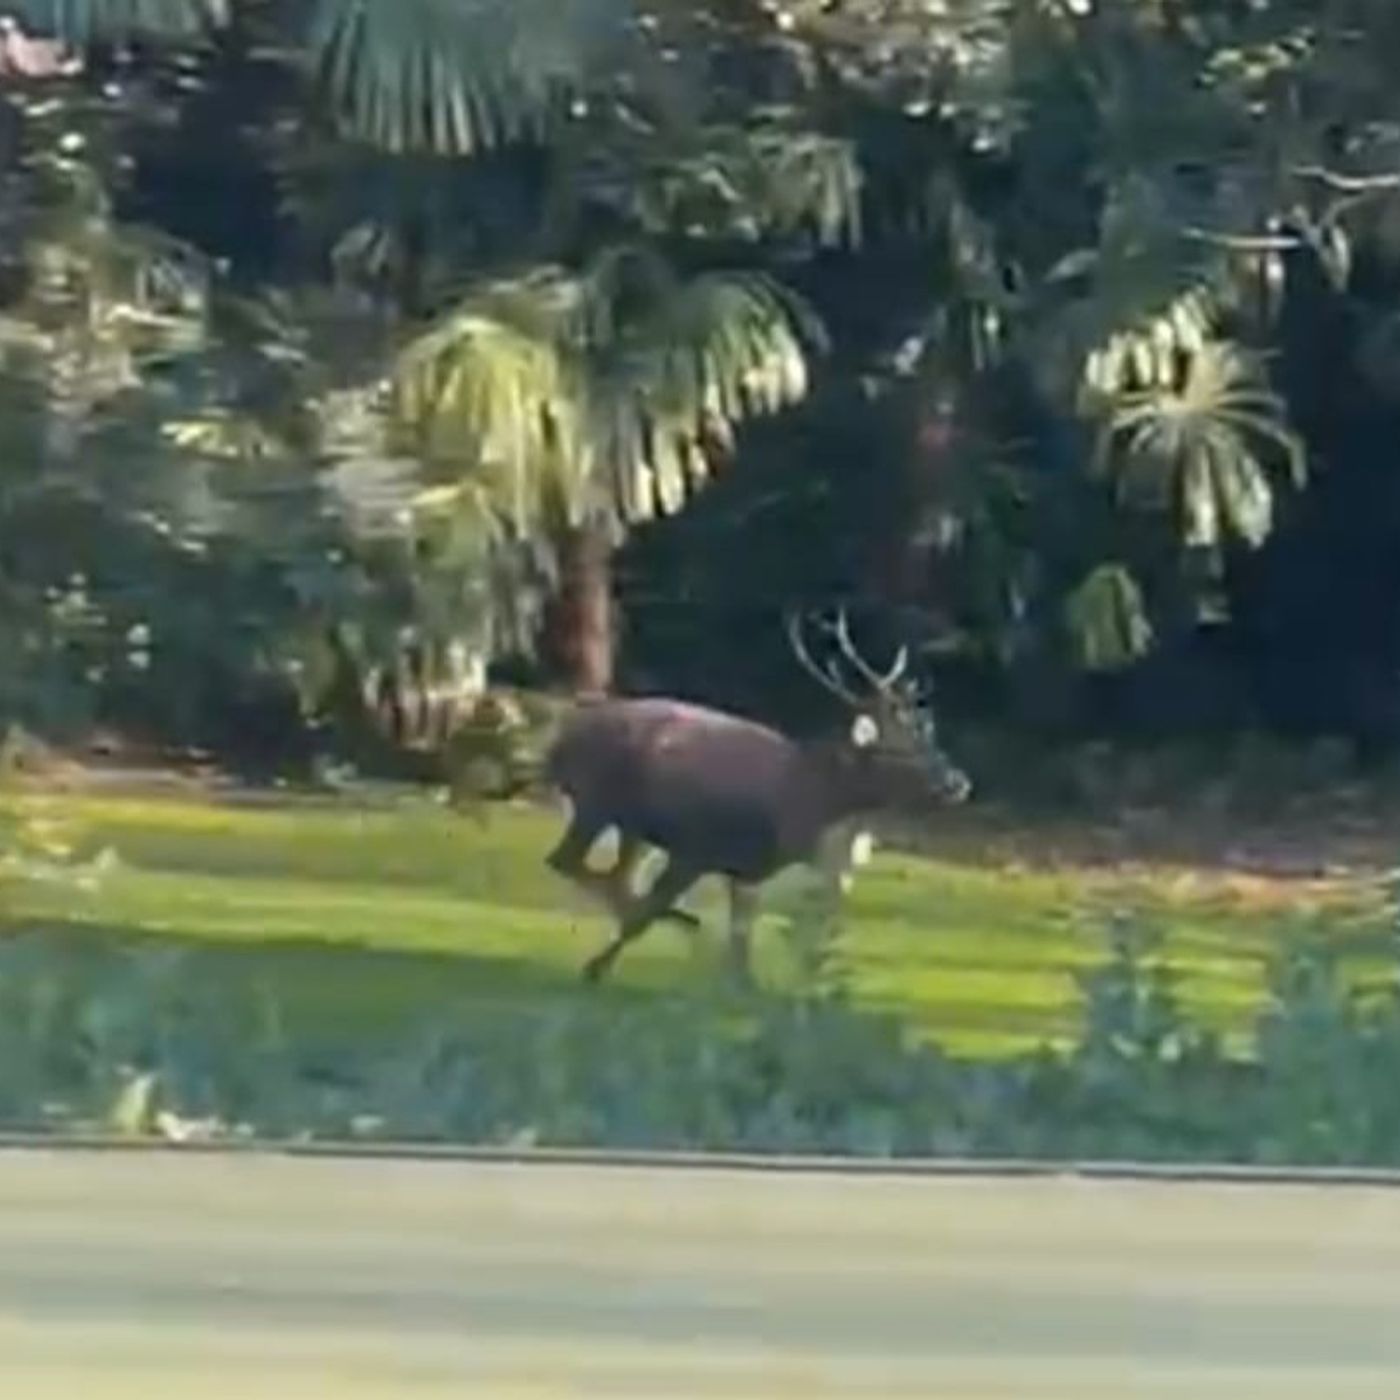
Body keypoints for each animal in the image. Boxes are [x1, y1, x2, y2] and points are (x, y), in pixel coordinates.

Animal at [542, 608, 971, 984]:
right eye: (902, 751)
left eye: (930, 740)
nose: (958, 782)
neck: (803, 799)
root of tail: (558, 743)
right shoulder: (695, 848)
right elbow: (651, 914)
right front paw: (595, 968)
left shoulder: (743, 870)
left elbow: (740, 943)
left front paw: (741, 984)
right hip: (598, 801)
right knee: (570, 863)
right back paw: (671, 921)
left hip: (628, 824)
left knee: (608, 874)